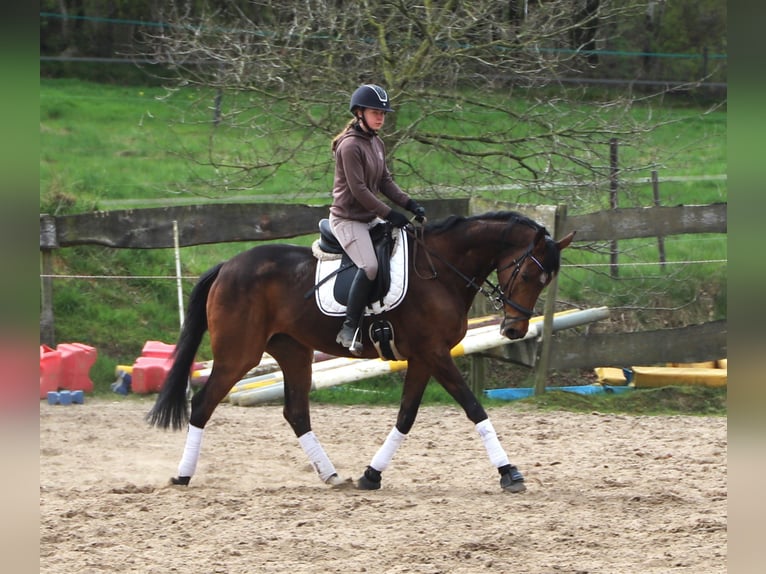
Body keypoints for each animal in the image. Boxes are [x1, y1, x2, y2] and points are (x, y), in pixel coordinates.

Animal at [147, 210, 575, 493]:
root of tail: (227, 265)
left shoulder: (424, 357)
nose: (514, 330)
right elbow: (474, 409)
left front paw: (372, 475)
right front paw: (509, 473)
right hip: (240, 354)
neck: (442, 271)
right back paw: (182, 475)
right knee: (203, 404)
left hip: (293, 351)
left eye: (546, 280)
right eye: (530, 273)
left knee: (296, 412)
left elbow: (406, 417)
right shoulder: (435, 354)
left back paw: (332, 475)